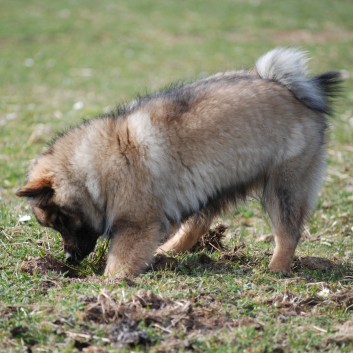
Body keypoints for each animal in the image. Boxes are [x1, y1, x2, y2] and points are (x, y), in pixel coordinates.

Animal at [16, 48, 340, 276]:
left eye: (61, 220)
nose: (69, 258)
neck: (97, 169)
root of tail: (291, 87)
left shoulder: (137, 225)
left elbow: (119, 263)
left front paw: (108, 283)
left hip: (284, 184)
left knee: (288, 233)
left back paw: (277, 269)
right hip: (212, 182)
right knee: (197, 225)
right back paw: (168, 251)